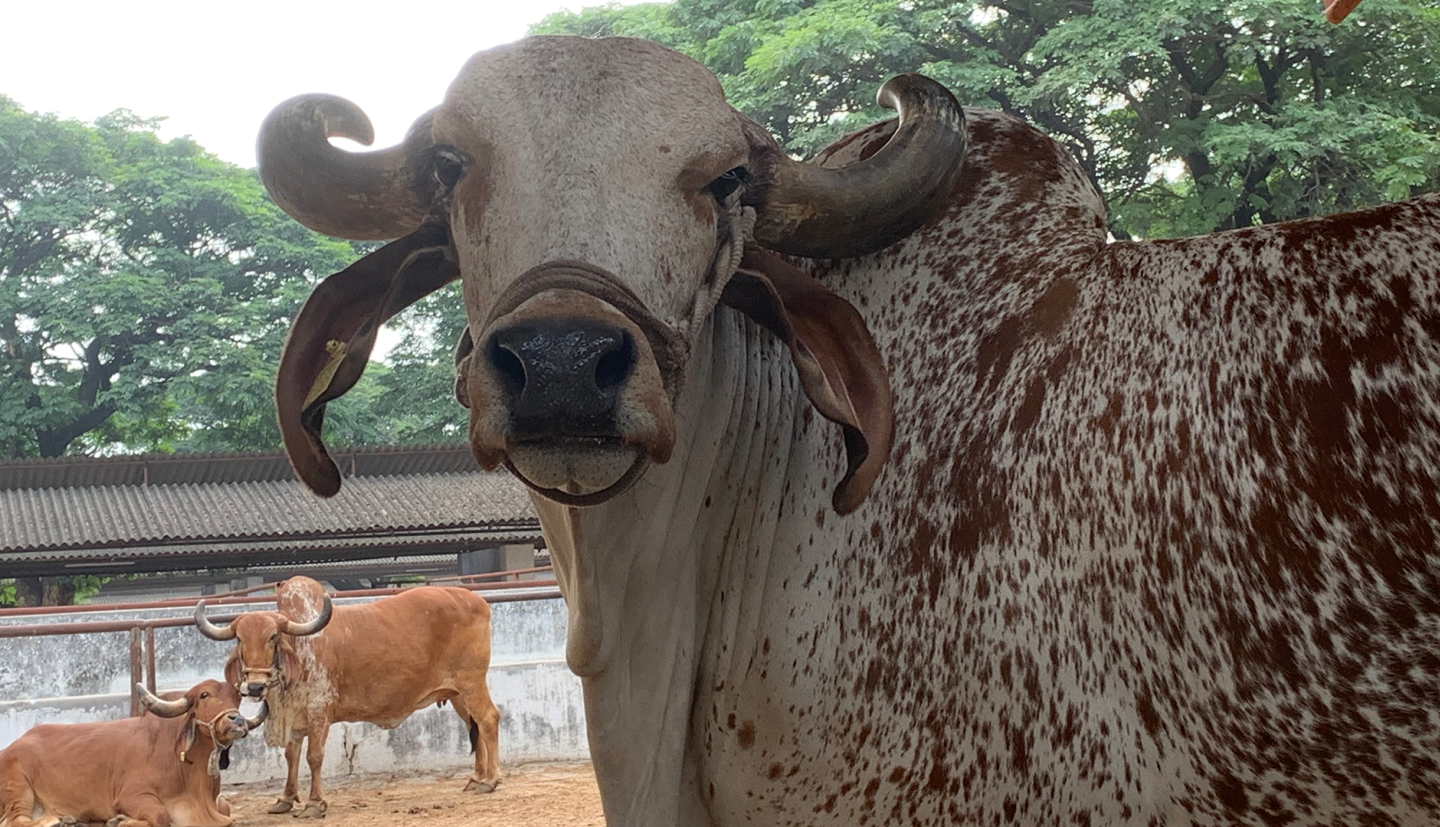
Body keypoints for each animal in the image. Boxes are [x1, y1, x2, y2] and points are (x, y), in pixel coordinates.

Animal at [0, 680, 264, 827]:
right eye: (204, 695)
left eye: (237, 697)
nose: (237, 720)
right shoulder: (131, 796)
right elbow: (160, 815)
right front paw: (119, 821)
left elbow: (227, 809)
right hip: (18, 787)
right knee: (17, 821)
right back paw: (58, 821)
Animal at [192, 576, 500, 817]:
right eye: (240, 639)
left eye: (272, 637)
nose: (255, 687)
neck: (300, 645)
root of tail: (477, 601)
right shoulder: (296, 718)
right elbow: (292, 756)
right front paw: (286, 799)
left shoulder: (319, 710)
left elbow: (314, 757)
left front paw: (315, 803)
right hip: (458, 694)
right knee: (473, 726)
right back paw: (477, 778)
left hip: (472, 683)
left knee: (488, 720)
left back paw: (491, 780)